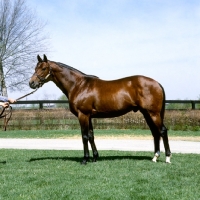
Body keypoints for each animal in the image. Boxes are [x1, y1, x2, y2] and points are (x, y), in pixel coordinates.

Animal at [28, 55, 171, 164]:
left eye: (44, 68)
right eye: (35, 68)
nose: (31, 83)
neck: (79, 85)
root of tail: (157, 83)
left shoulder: (83, 115)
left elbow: (84, 136)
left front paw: (85, 159)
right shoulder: (89, 116)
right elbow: (91, 136)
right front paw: (95, 157)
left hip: (153, 113)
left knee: (162, 131)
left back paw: (168, 158)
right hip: (147, 113)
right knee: (155, 133)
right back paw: (155, 157)